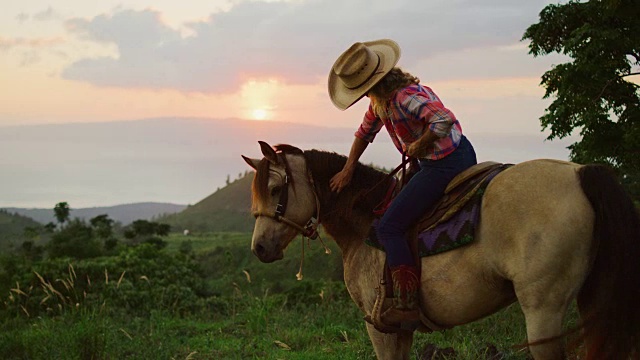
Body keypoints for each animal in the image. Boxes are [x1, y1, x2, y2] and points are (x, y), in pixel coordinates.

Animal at [241, 141, 640, 360]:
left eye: (275, 189)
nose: (259, 248)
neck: (363, 221)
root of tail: (582, 173)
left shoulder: (378, 326)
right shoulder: (401, 329)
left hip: (543, 310)